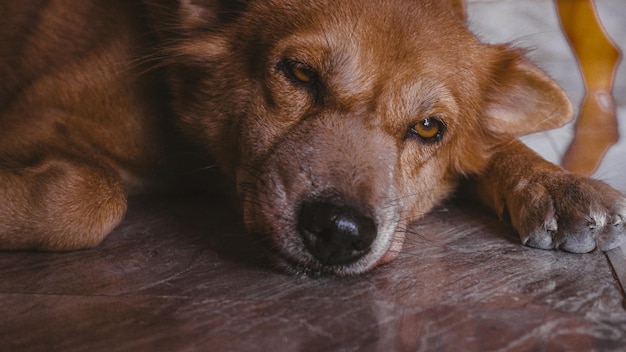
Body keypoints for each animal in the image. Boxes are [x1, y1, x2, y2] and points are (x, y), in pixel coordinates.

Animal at [0, 0, 620, 276]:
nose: (340, 232)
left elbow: (495, 148)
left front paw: (558, 185)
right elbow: (93, 196)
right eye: (299, 74)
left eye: (427, 128)